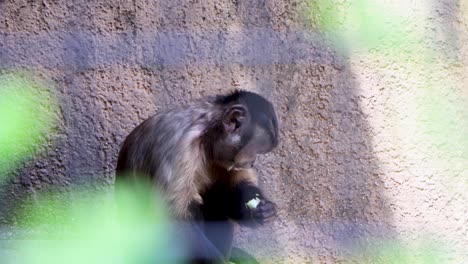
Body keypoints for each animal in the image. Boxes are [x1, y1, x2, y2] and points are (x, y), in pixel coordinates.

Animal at [115, 91, 280, 264]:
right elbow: (173, 218)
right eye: (255, 150)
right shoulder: (182, 147)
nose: (253, 162)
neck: (207, 133)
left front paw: (262, 210)